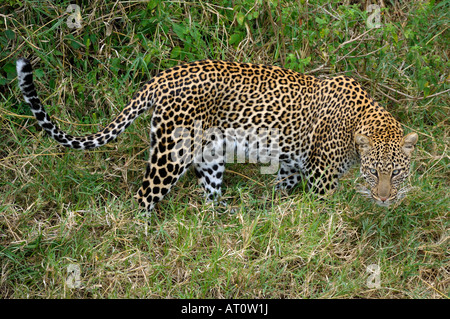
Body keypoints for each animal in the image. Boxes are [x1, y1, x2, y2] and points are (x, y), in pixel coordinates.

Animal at [16, 57, 418, 212]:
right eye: (374, 172)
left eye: (397, 172)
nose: (385, 199)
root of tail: (162, 78)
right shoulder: (322, 177)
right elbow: (323, 211)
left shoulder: (292, 165)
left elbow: (282, 189)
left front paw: (273, 211)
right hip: (171, 153)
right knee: (144, 196)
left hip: (209, 155)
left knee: (209, 193)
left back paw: (220, 219)